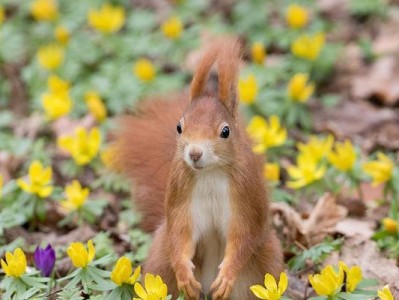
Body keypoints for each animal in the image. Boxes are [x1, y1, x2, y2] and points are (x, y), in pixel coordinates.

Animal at [115, 38, 284, 300]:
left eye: (225, 131)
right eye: (178, 127)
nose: (194, 153)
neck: (210, 172)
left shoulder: (246, 196)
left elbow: (244, 236)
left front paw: (227, 274)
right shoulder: (181, 195)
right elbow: (180, 233)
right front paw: (185, 274)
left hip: (266, 260)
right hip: (161, 258)